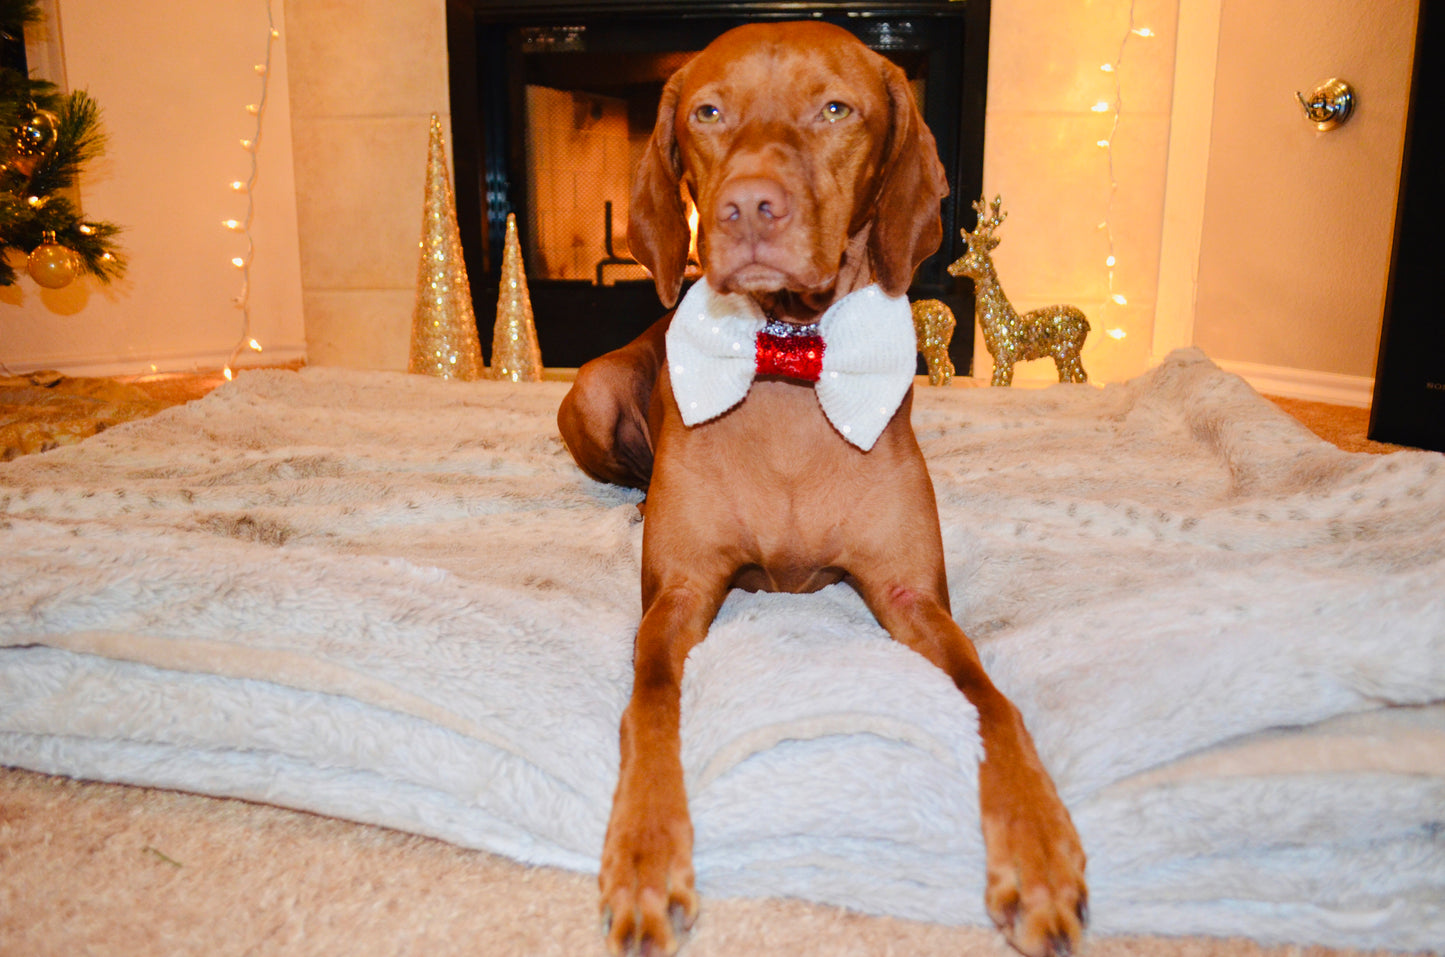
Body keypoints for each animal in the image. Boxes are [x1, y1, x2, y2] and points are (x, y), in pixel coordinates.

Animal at [557, 22, 1086, 957]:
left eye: (834, 109)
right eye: (707, 112)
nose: (744, 208)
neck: (788, 356)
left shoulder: (914, 597)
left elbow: (993, 703)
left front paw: (1038, 846)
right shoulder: (678, 595)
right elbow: (649, 707)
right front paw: (646, 854)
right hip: (586, 391)